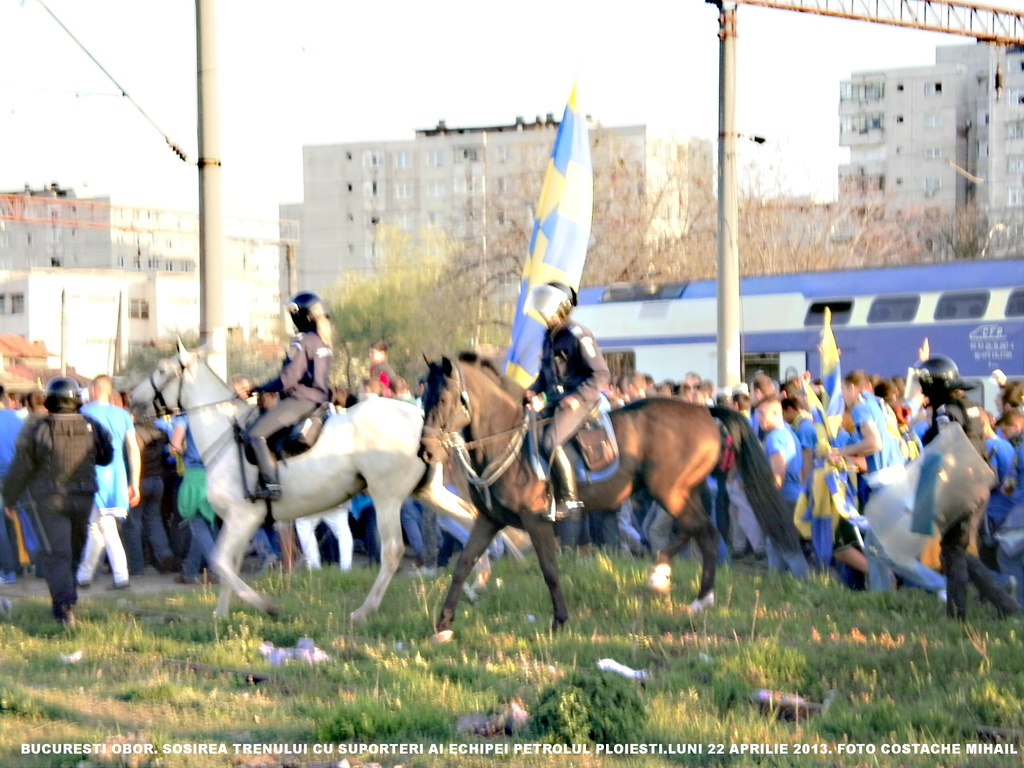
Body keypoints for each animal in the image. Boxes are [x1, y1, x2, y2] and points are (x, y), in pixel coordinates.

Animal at [128, 346, 495, 622]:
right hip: (427, 491)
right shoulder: (242, 521)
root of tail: (421, 418)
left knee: (392, 551)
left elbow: (219, 561)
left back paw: (364, 610)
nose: (132, 397)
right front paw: (220, 614)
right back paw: (478, 583)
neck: (224, 434)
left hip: (387, 496)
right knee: (470, 520)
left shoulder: (242, 517)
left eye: (161, 370)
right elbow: (227, 563)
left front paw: (266, 605)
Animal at [419, 354, 802, 638]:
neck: (504, 441)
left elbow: (549, 569)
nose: (425, 451)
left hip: (670, 491)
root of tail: (703, 411)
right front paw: (443, 624)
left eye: (444, 398)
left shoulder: (536, 519)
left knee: (703, 530)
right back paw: (669, 579)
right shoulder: (490, 519)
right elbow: (463, 565)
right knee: (695, 530)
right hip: (678, 491)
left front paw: (560, 620)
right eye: (423, 398)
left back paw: (693, 593)